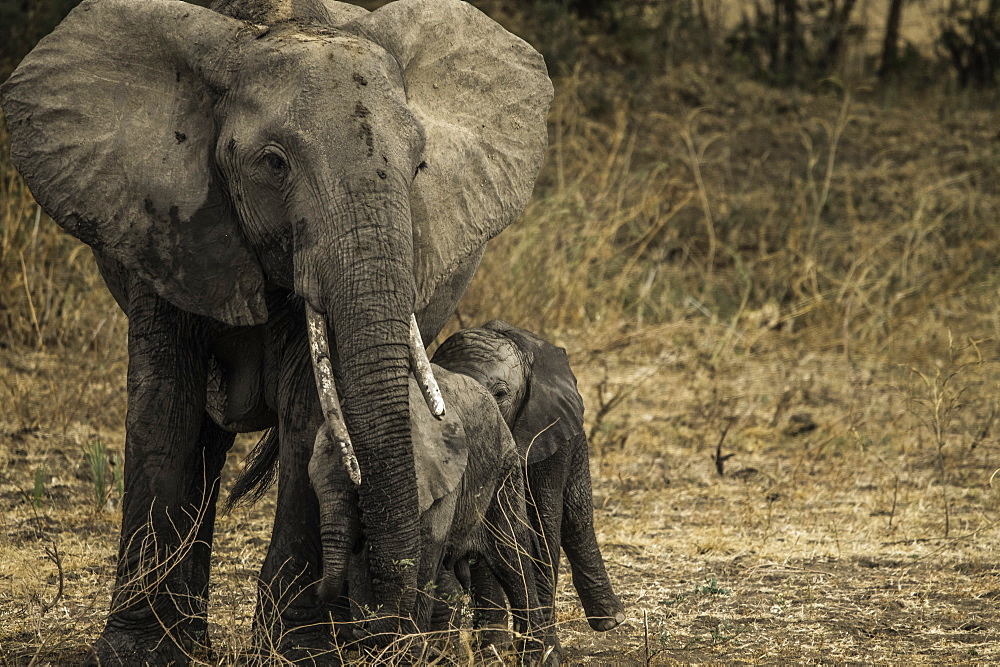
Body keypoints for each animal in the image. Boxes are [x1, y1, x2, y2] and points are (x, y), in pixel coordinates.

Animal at [0, 0, 552, 660]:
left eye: (421, 165)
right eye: (274, 164)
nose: (389, 617)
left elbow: (309, 407)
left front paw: (300, 653)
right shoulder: (158, 227)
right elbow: (166, 406)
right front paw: (140, 655)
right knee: (205, 437)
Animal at [432, 322, 624, 648]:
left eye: (500, 393)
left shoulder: (545, 433)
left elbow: (539, 527)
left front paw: (542, 645)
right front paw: (493, 647)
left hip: (572, 435)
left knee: (576, 518)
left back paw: (611, 620)